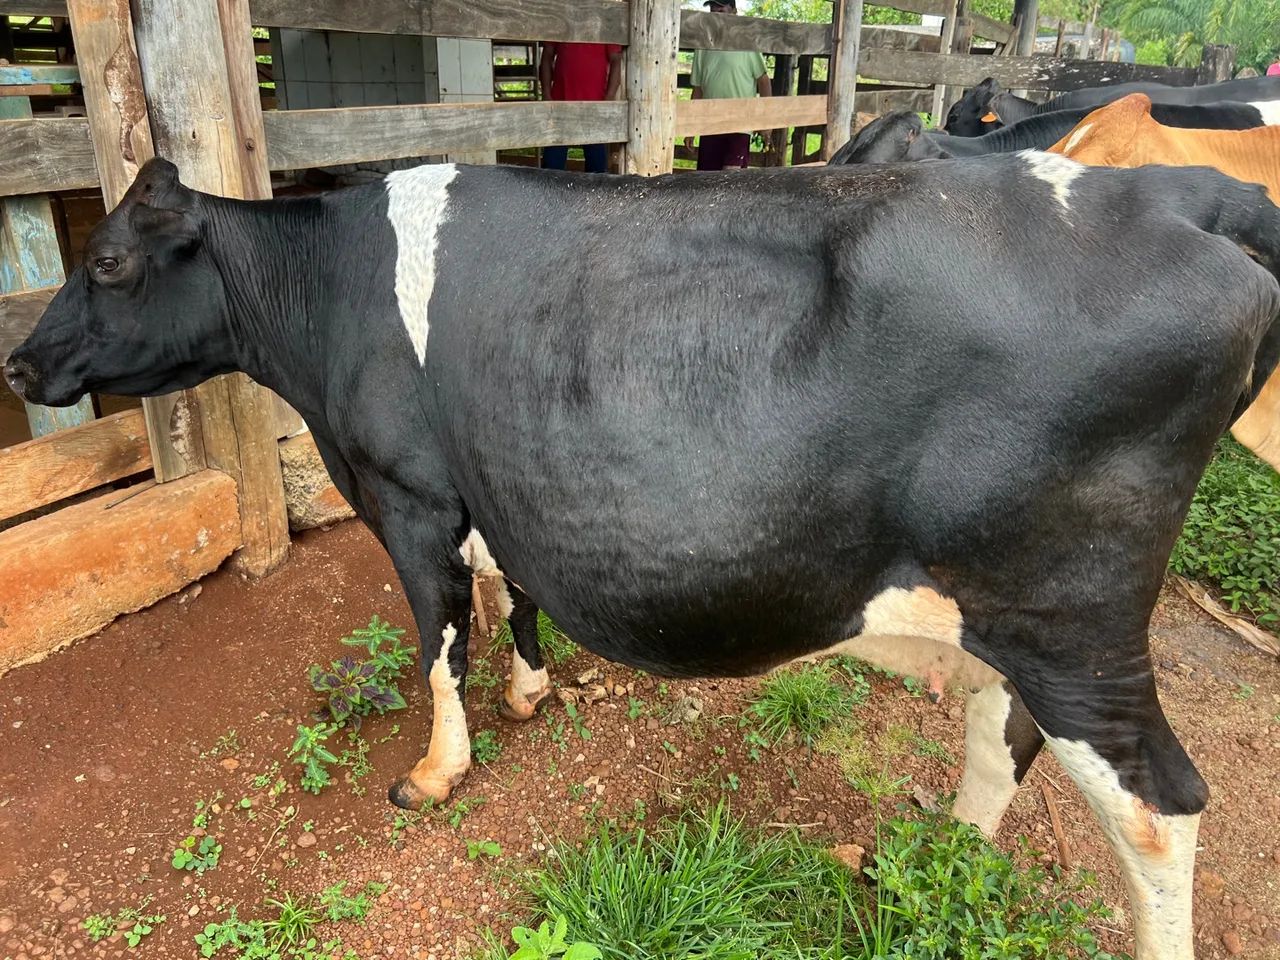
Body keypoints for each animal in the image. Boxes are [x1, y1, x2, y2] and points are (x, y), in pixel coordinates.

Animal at [7, 155, 1280, 960]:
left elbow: (437, 637)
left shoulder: (410, 494)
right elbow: (511, 591)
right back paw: (929, 858)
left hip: (1072, 618)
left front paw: (435, 771)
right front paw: (528, 694)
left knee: (1156, 805)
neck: (323, 299)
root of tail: (1180, 205)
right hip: (1014, 614)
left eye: (109, 261)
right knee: (996, 731)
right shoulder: (503, 484)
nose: (19, 361)